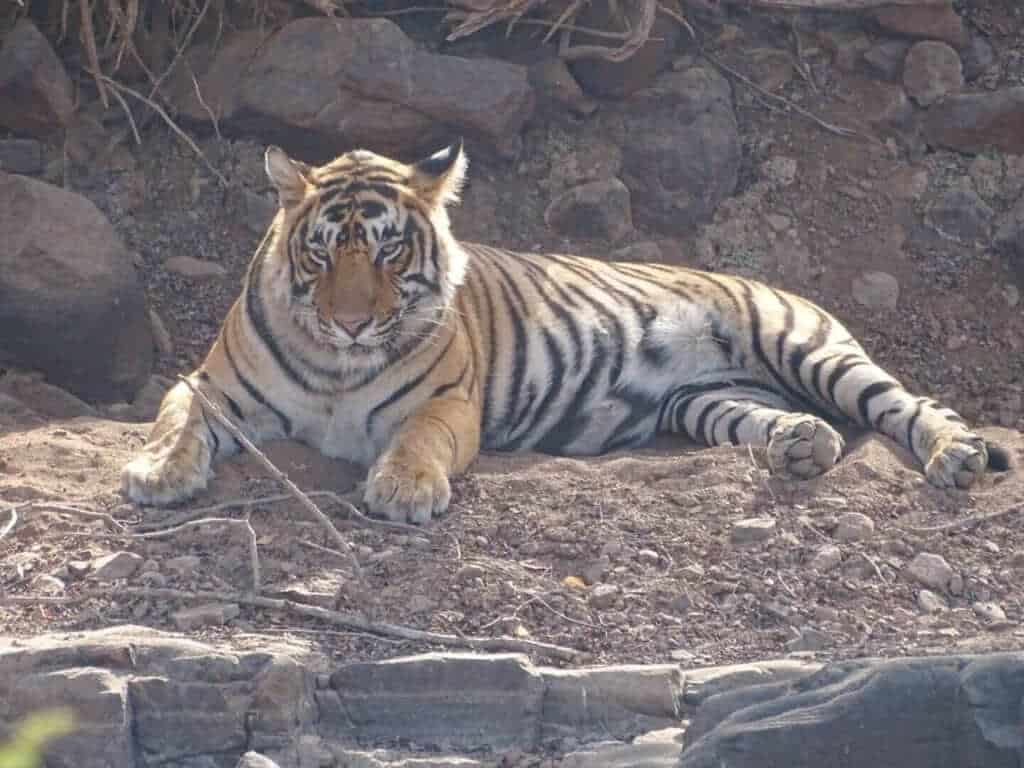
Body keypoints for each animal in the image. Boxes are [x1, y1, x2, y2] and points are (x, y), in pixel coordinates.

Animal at [119, 140, 1007, 524]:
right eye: (322, 251)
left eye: (388, 250)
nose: (352, 321)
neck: (337, 365)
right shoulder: (211, 386)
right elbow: (175, 422)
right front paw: (158, 474)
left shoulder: (447, 404)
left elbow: (416, 443)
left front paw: (404, 491)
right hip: (705, 400)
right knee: (784, 420)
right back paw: (800, 445)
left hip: (807, 346)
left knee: (911, 405)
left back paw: (955, 457)